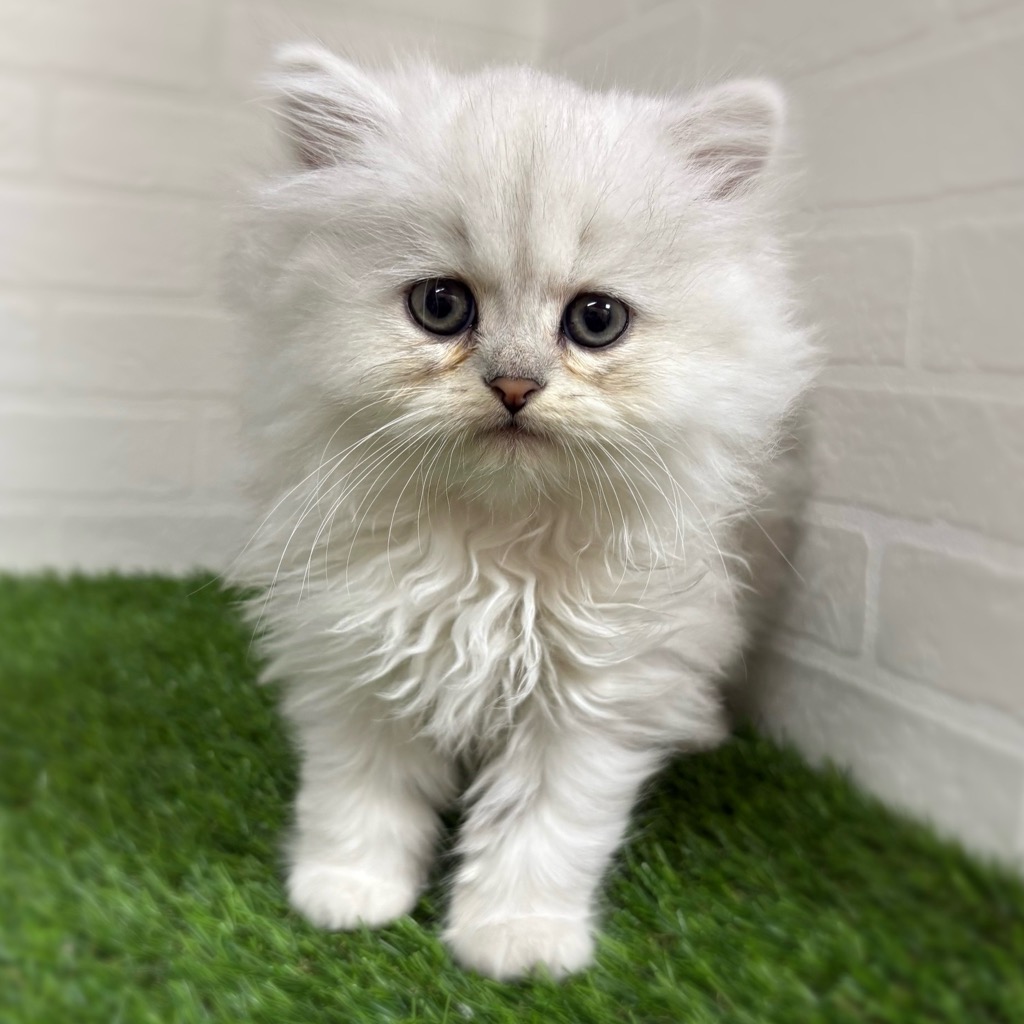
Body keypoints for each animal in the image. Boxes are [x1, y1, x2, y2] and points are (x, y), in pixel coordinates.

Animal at [227, 43, 815, 980]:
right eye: (441, 307)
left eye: (597, 321)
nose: (513, 385)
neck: (490, 546)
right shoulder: (359, 659)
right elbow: (361, 794)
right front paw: (348, 892)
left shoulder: (593, 695)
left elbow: (540, 829)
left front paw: (518, 941)